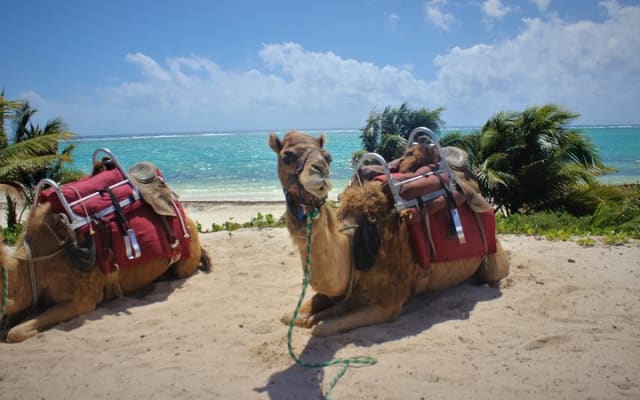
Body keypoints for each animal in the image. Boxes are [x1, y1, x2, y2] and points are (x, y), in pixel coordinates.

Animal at [269, 130, 509, 336]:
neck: (357, 241)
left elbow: (321, 327)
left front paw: (316, 321)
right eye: (287, 155)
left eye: (328, 158)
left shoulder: (389, 303)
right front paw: (305, 316)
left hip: (493, 258)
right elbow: (290, 316)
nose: (318, 171)